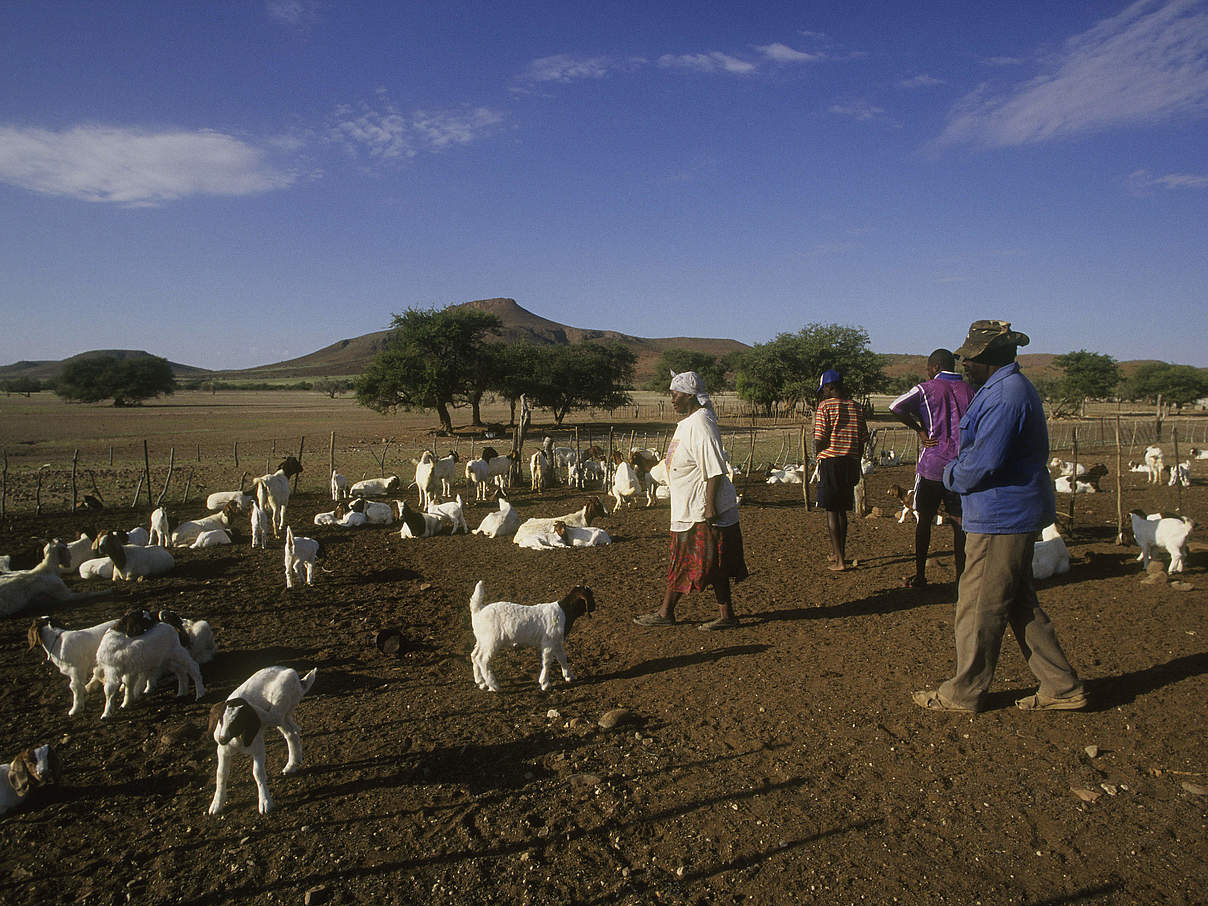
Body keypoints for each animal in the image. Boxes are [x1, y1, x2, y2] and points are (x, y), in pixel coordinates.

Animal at [206, 666, 316, 816]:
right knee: (291, 732)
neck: (238, 738)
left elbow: (257, 772)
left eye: (238, 722)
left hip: (278, 707)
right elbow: (221, 774)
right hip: (282, 715)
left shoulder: (258, 748)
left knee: (281, 723)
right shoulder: (223, 751)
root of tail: (294, 675)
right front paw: (217, 804)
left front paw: (265, 802)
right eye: (220, 720)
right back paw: (292, 764)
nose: (222, 739)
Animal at [466, 582, 594, 695]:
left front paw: (569, 676)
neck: (565, 612)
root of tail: (478, 612)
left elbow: (562, 657)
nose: (594, 606)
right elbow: (547, 661)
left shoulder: (557, 642)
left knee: (474, 655)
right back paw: (493, 685)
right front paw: (545, 683)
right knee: (483, 660)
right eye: (590, 594)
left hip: (482, 640)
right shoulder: (548, 642)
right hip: (491, 641)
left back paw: (481, 682)